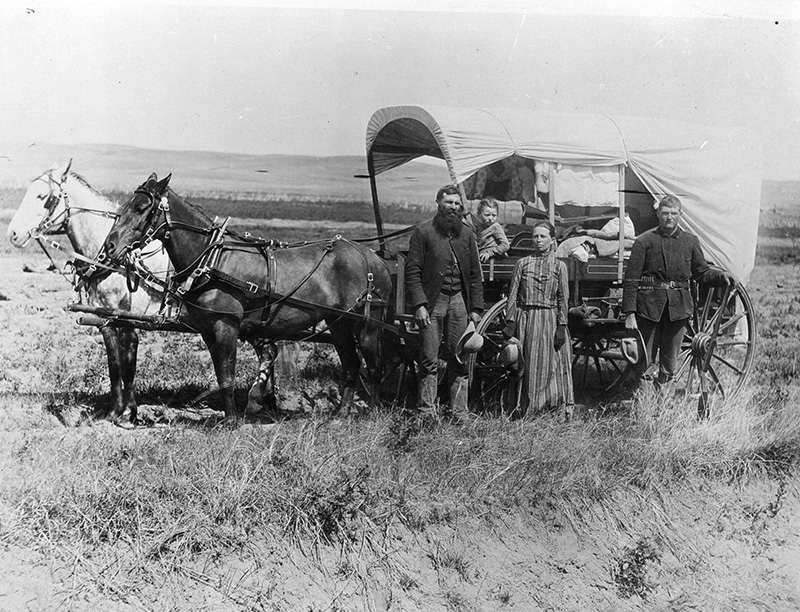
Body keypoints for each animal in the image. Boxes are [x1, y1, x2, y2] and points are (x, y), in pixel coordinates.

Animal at [6, 160, 276, 424]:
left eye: (42, 196)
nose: (13, 234)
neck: (113, 261)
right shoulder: (110, 321)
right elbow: (118, 365)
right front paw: (119, 411)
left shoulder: (123, 322)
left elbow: (125, 366)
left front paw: (124, 412)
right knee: (269, 352)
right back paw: (264, 401)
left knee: (268, 352)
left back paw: (257, 401)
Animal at [104, 172, 394, 420]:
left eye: (141, 208)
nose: (110, 246)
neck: (212, 258)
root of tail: (373, 258)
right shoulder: (208, 329)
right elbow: (221, 375)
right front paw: (231, 416)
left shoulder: (226, 326)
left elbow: (227, 376)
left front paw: (233, 421)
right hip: (339, 324)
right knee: (351, 365)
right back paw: (341, 414)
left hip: (367, 324)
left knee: (375, 367)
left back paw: (373, 413)